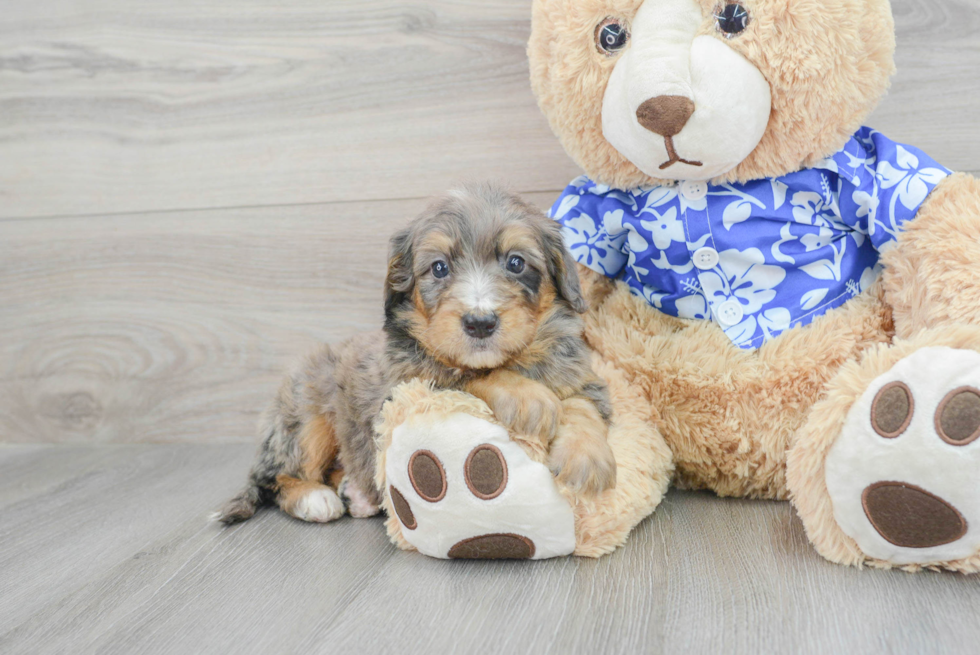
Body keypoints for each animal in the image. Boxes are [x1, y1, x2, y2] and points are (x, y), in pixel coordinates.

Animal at [217, 184, 616, 528]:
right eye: (439, 268)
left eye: (516, 263)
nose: (480, 323)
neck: (513, 359)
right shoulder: (404, 387)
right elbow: (467, 374)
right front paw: (528, 397)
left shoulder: (581, 374)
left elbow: (583, 405)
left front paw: (586, 456)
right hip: (305, 419)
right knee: (276, 477)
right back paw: (315, 499)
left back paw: (354, 492)